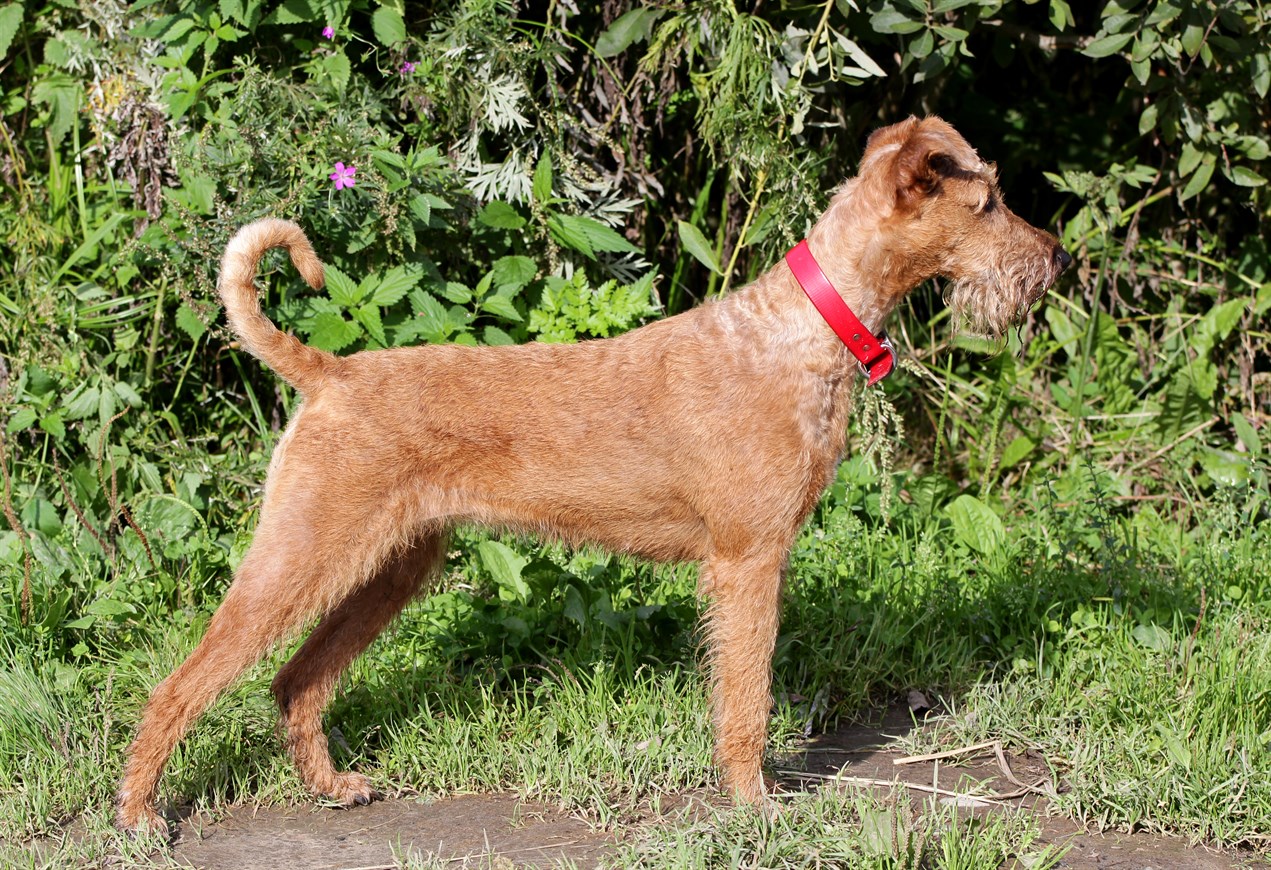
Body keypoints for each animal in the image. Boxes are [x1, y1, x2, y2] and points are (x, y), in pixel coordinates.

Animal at [116, 115, 1072, 828]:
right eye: (986, 201)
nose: (1057, 259)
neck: (802, 330)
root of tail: (327, 374)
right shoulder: (748, 560)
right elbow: (746, 698)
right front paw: (754, 804)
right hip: (301, 552)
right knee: (182, 682)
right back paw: (140, 814)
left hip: (389, 565)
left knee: (296, 680)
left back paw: (331, 787)